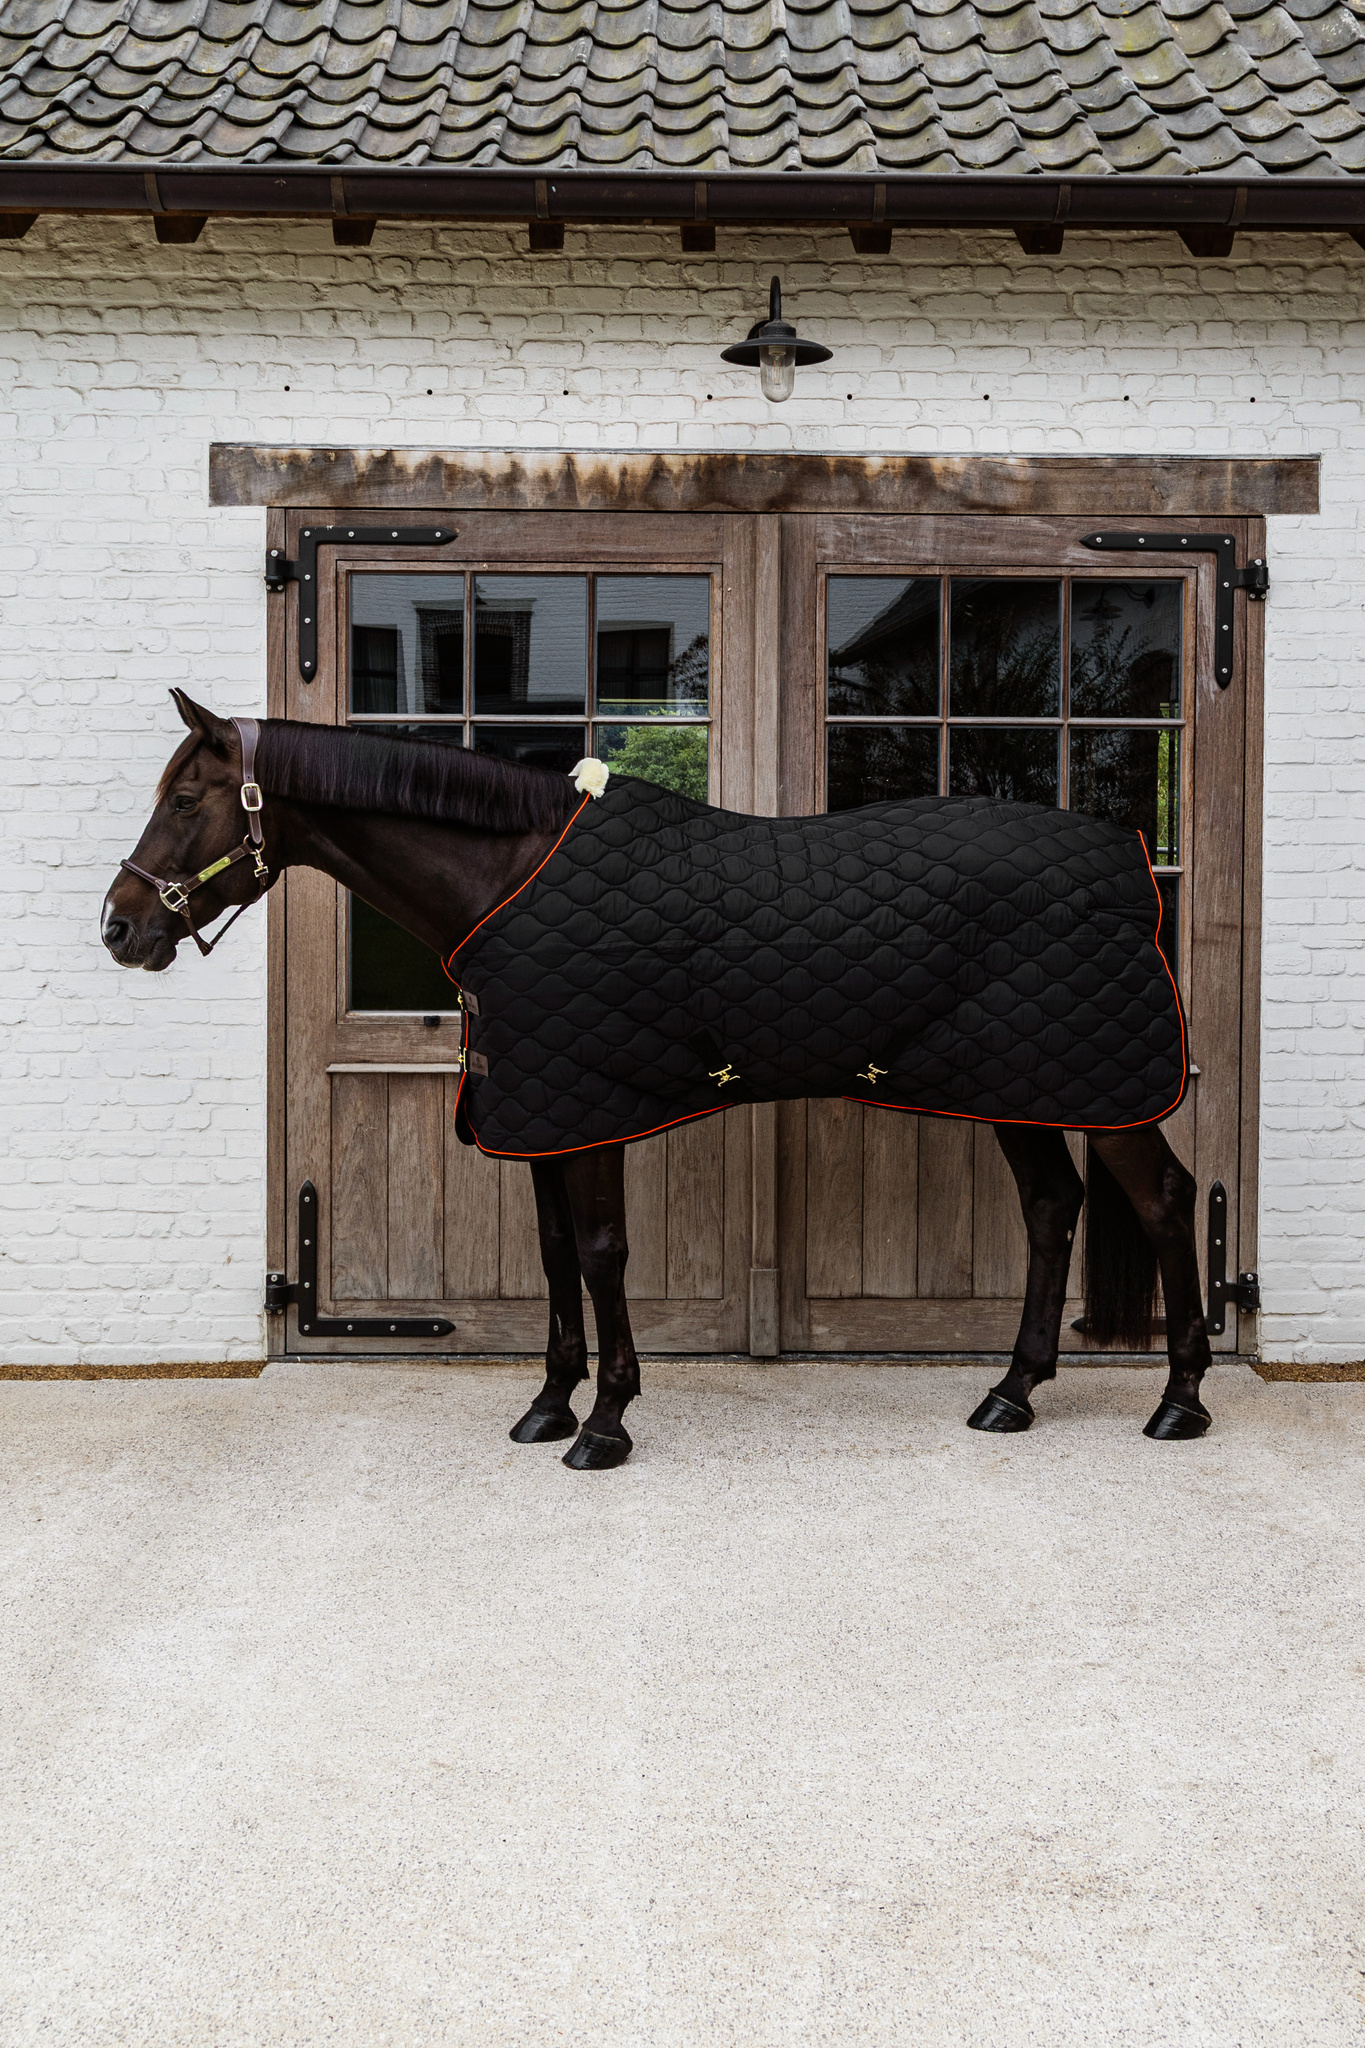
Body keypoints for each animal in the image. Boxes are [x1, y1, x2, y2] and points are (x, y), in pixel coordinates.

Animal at [101, 692, 1214, 1468]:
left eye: (187, 800)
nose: (120, 928)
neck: (508, 879)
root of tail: (1131, 856)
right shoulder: (538, 1111)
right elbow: (555, 1258)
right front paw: (547, 1408)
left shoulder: (586, 1110)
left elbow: (600, 1255)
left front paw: (604, 1423)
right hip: (1026, 1083)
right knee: (1052, 1205)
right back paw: (1012, 1393)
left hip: (1091, 1085)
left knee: (1162, 1198)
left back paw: (1179, 1402)